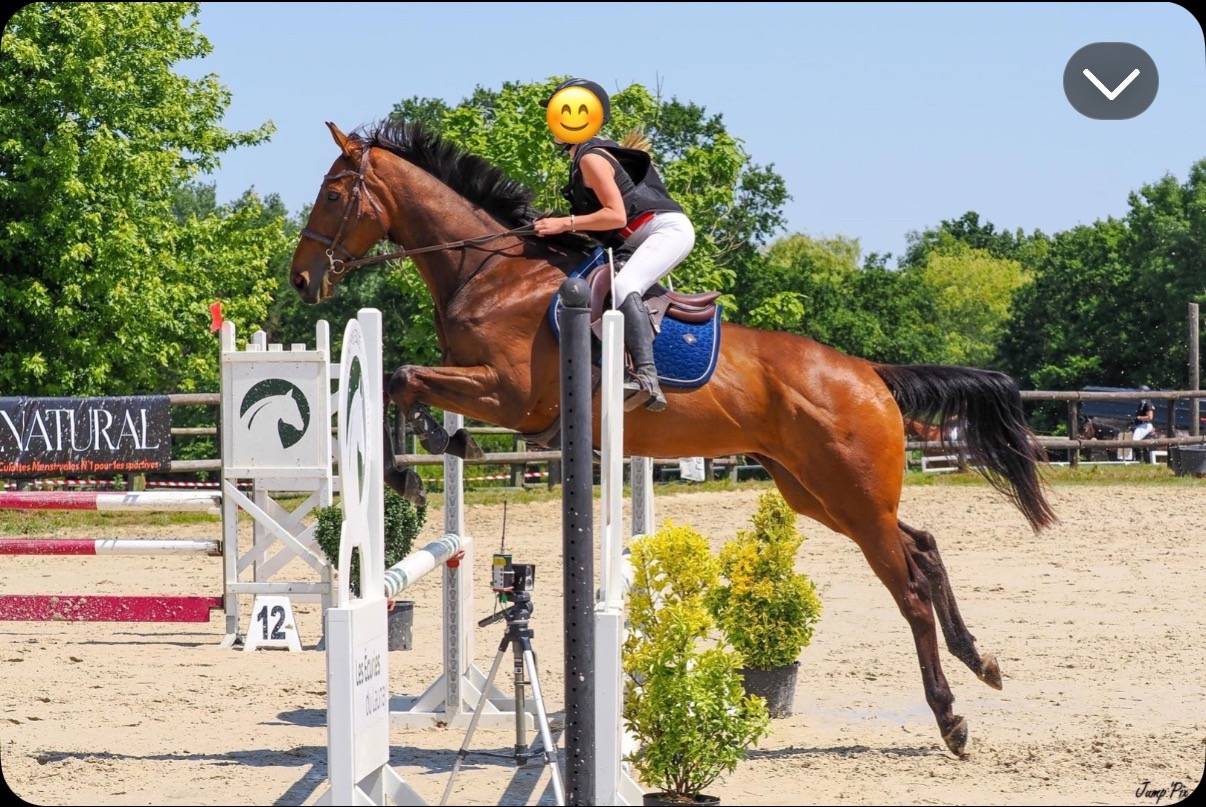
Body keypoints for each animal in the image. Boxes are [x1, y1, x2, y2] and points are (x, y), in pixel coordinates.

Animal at [289, 120, 1056, 758]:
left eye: (334, 193)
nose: (301, 278)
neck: (493, 274)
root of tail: (869, 372)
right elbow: (401, 379)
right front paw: (432, 454)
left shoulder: (508, 393)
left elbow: (401, 376)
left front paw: (411, 470)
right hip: (817, 493)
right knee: (923, 546)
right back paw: (981, 662)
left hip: (852, 497)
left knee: (911, 589)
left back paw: (952, 720)